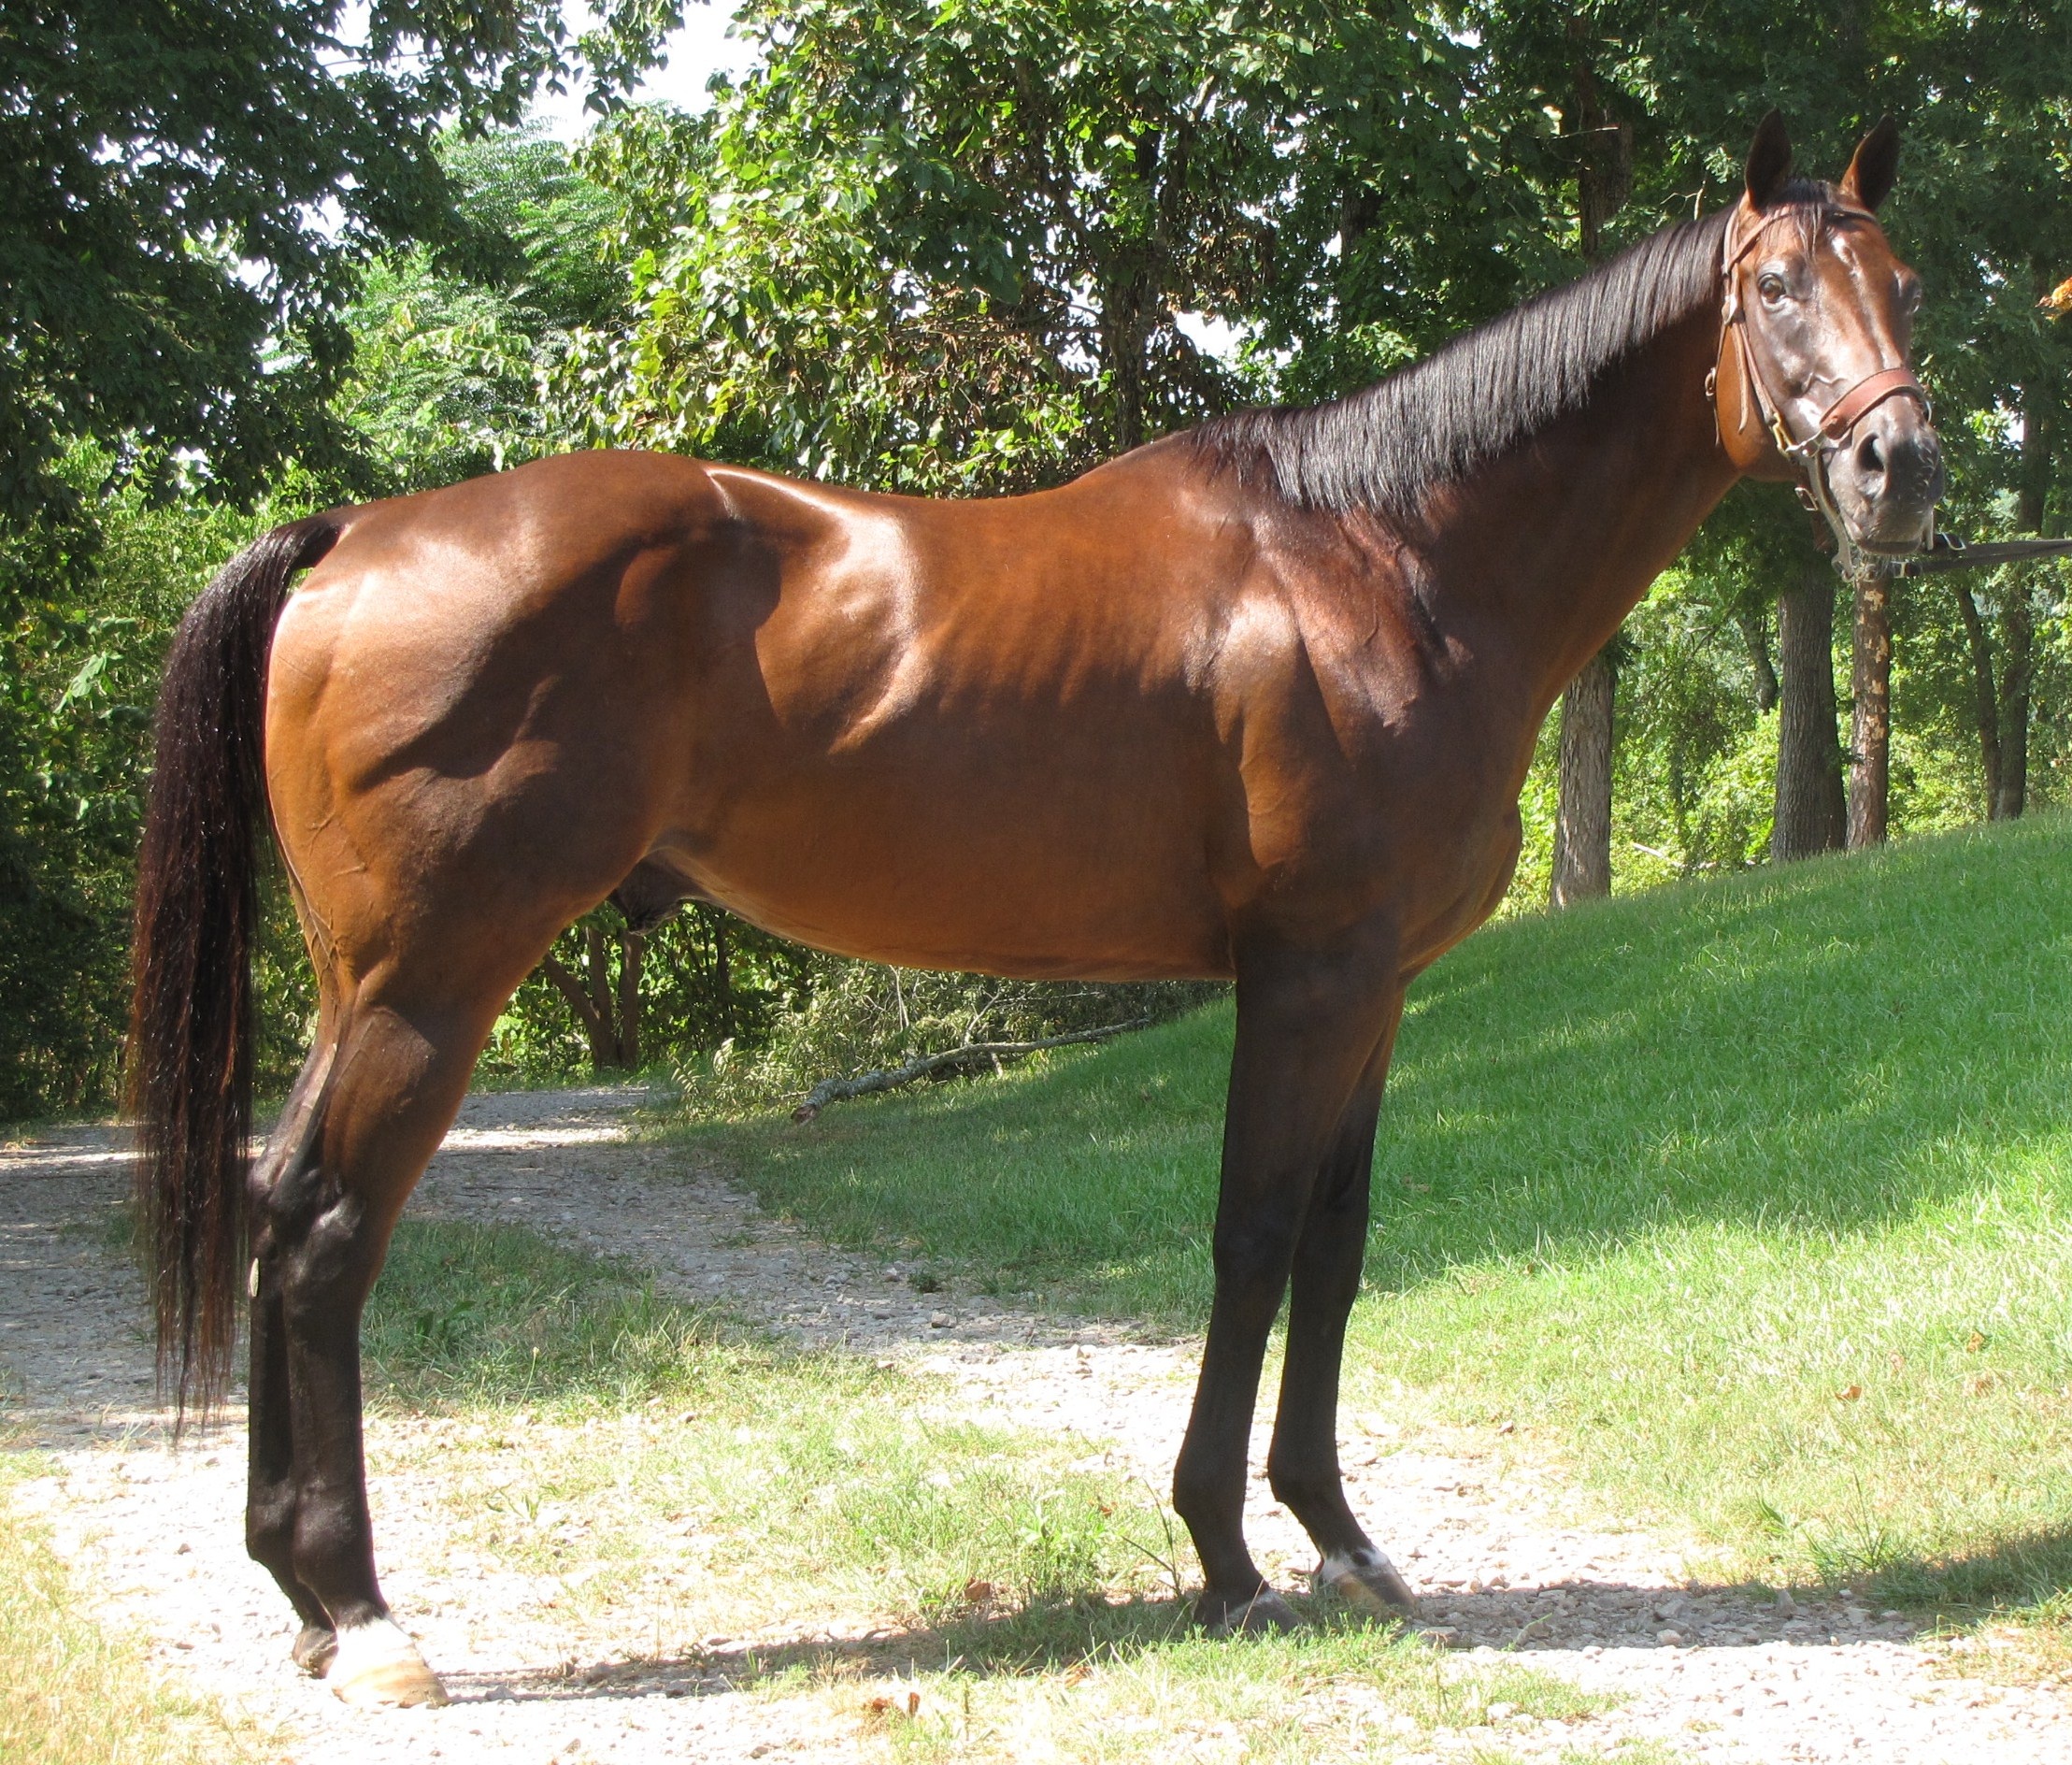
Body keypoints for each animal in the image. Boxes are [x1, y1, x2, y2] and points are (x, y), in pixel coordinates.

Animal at [128, 113, 1941, 1706]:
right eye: (1776, 289)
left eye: (1906, 281)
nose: (1899, 467)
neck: (1384, 557)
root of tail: (359, 534)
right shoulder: (1305, 973)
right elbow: (1253, 1234)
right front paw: (1225, 1556)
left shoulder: (1378, 982)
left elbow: (1337, 1244)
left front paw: (1340, 1539)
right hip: (433, 978)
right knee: (329, 1230)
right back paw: (367, 1616)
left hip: (361, 981)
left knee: (282, 1201)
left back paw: (306, 1601)